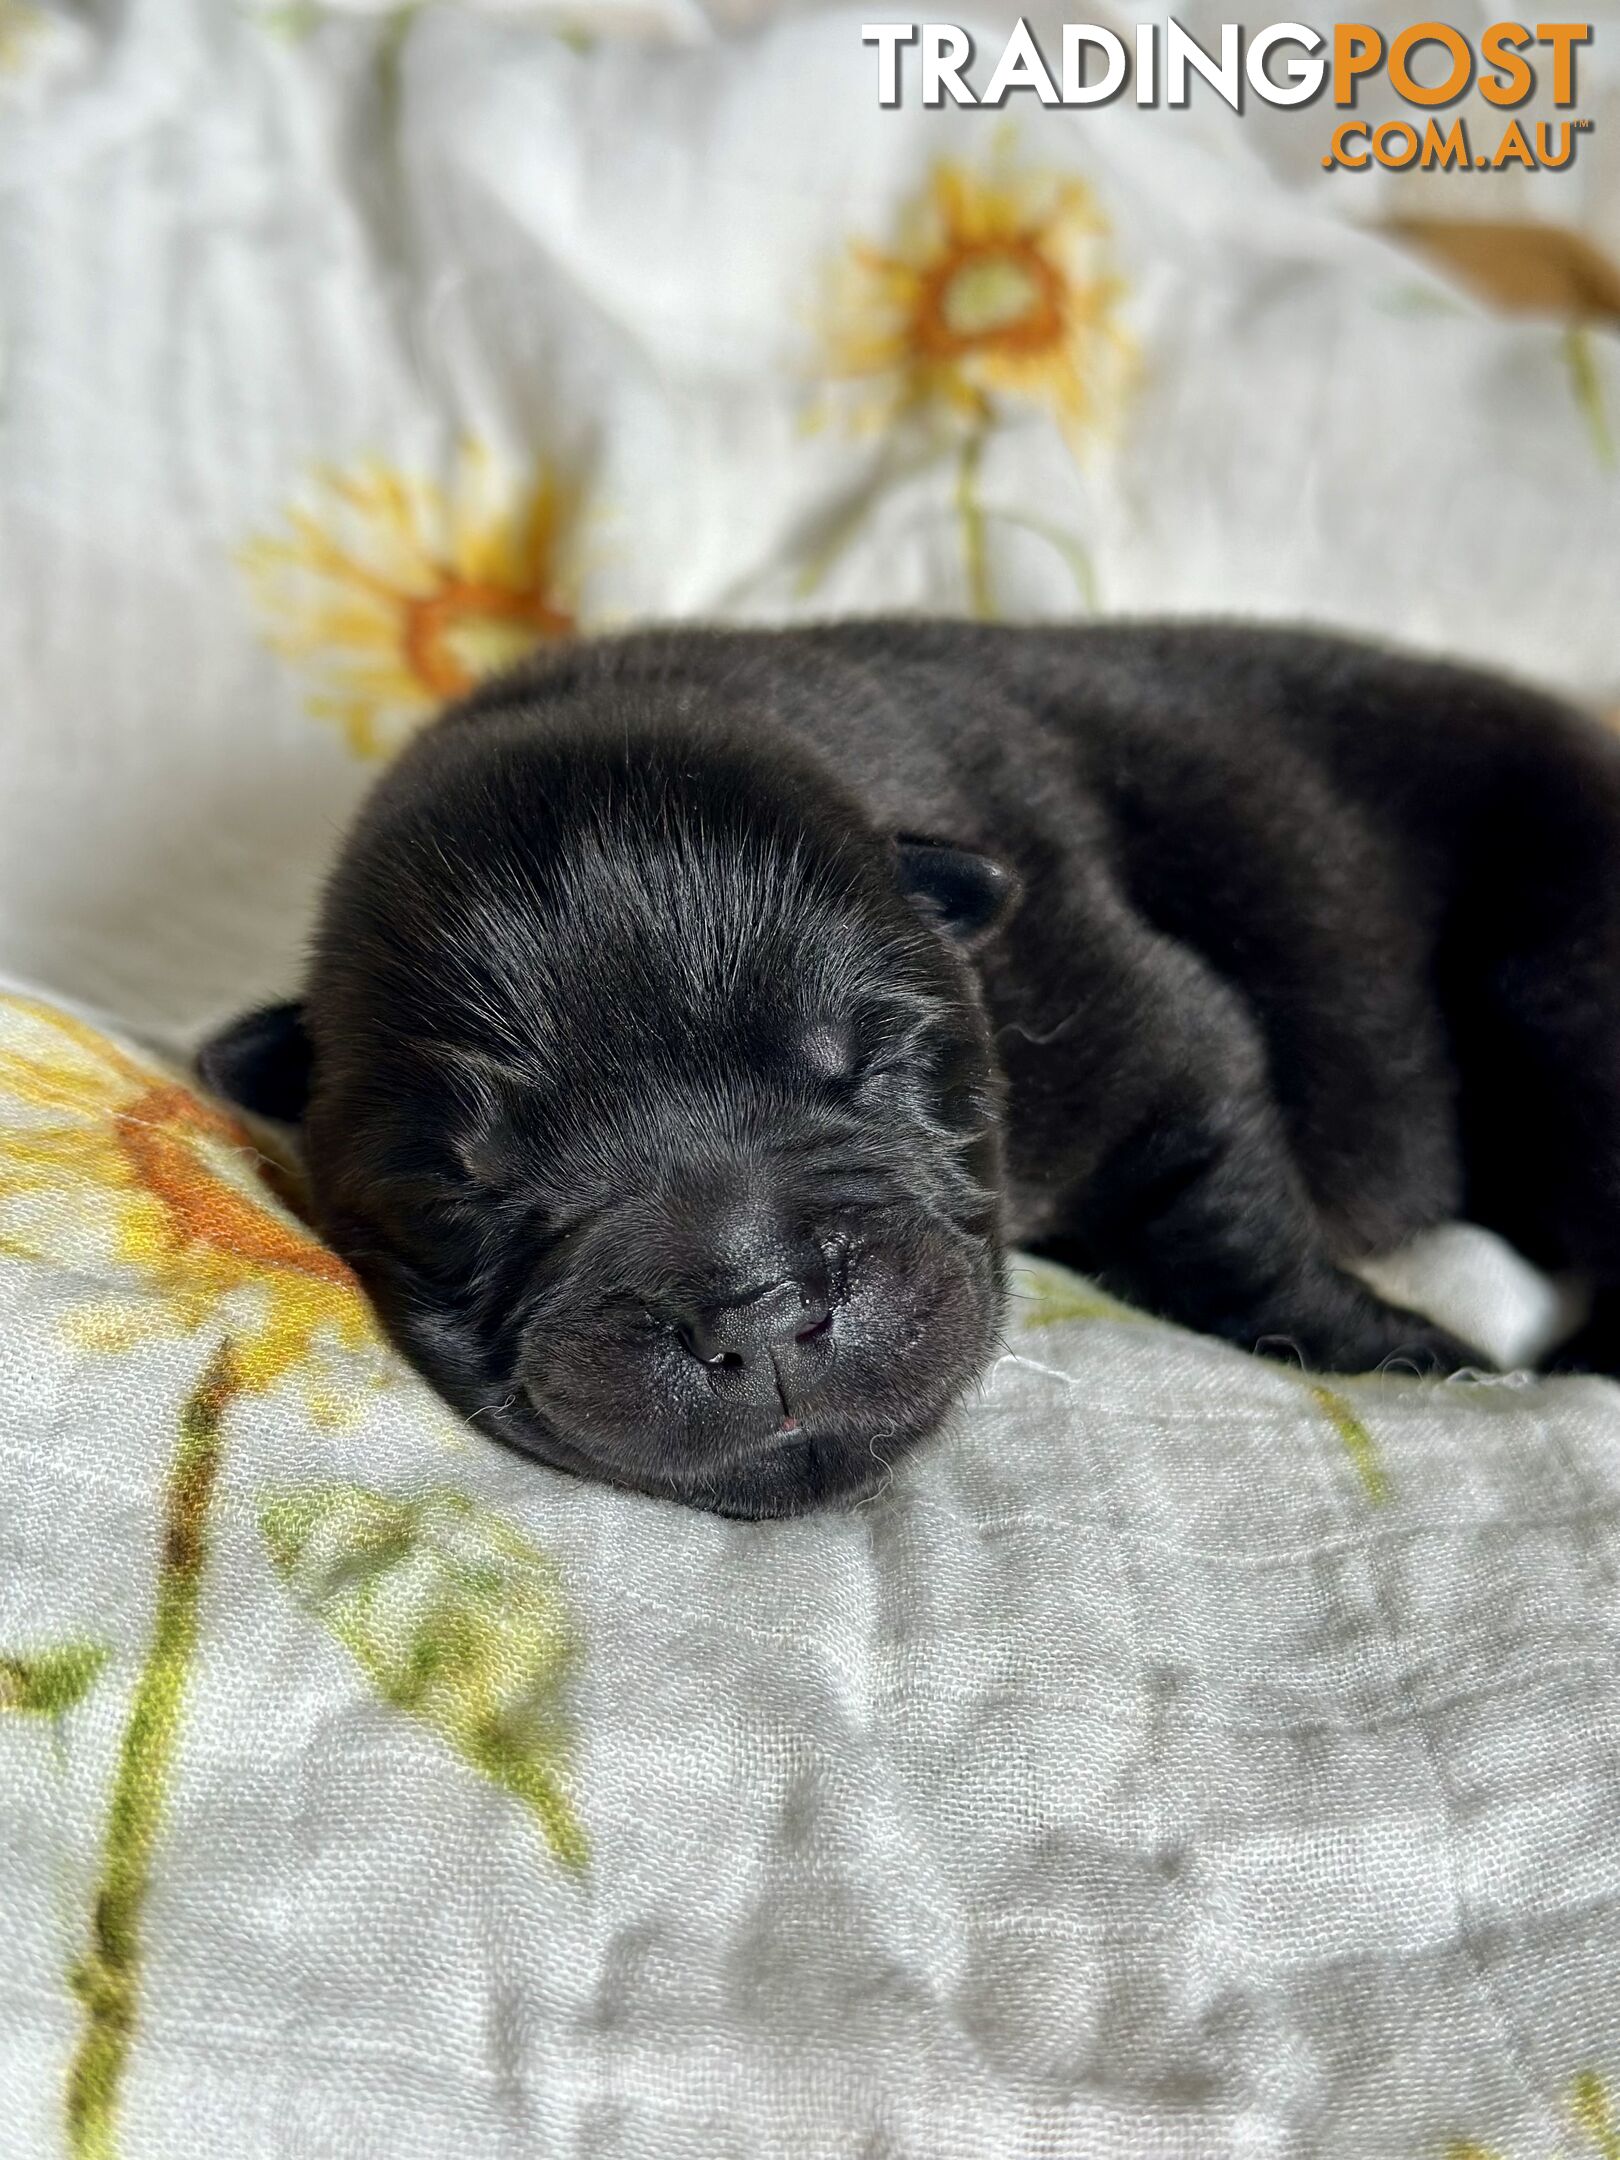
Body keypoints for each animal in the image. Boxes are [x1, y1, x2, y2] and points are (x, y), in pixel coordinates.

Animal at [199, 617, 1620, 1512]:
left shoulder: (1140, 1025)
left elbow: (1221, 1218)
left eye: (875, 1061)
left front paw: (1411, 1359)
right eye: (463, 1194)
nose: (755, 1310)